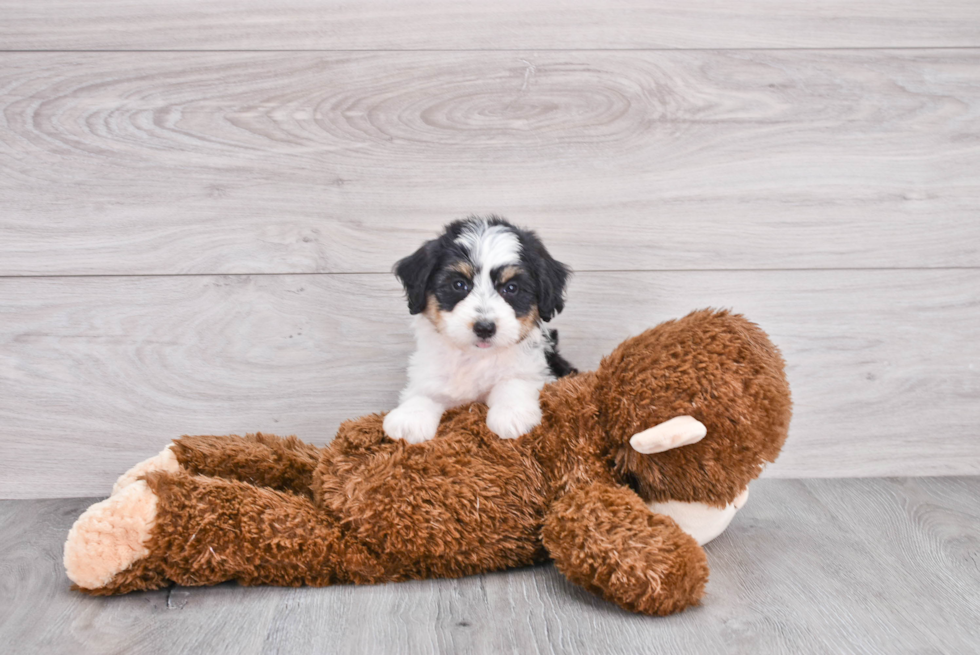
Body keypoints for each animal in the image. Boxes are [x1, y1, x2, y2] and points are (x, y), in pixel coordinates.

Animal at [382, 218, 576, 444]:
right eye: (459, 284)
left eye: (511, 288)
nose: (484, 328)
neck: (475, 358)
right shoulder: (431, 372)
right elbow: (424, 391)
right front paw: (410, 417)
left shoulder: (538, 370)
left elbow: (514, 381)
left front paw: (512, 414)